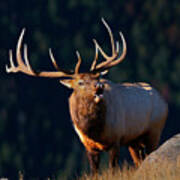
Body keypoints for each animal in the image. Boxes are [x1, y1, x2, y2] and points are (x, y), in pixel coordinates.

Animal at [5, 18, 169, 173]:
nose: (99, 87)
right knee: (139, 160)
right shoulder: (88, 145)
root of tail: (163, 100)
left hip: (154, 130)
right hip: (134, 140)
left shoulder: (116, 139)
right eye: (80, 82)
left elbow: (112, 169)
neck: (94, 131)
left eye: (98, 78)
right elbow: (94, 172)